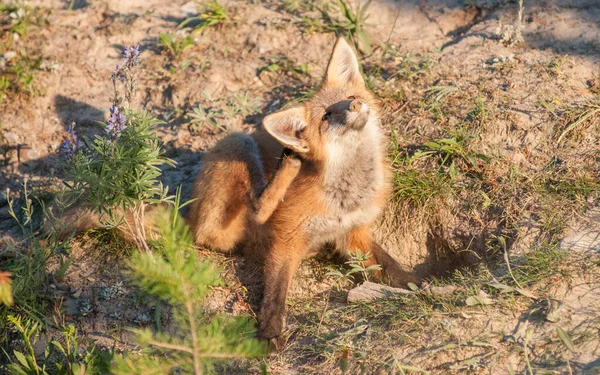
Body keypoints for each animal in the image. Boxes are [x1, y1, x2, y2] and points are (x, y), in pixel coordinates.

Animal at [186, 36, 418, 348]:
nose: (355, 104)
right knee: (250, 213)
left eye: (351, 95)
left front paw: (418, 286)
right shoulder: (288, 235)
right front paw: (270, 331)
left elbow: (391, 267)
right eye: (326, 116)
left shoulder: (353, 234)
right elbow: (275, 293)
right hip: (238, 144)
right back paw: (288, 164)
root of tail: (189, 215)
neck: (344, 200)